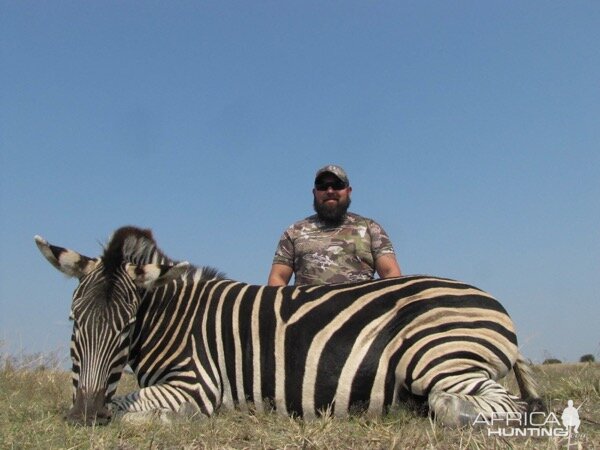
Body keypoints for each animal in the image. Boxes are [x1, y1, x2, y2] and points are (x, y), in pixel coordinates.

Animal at [34, 225, 544, 426]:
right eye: (73, 322)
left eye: (126, 327)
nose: (82, 418)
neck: (176, 321)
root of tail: (492, 299)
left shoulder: (197, 383)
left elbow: (127, 406)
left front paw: (155, 418)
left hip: (437, 355)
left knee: (496, 403)